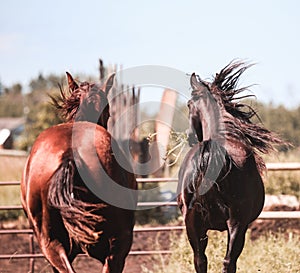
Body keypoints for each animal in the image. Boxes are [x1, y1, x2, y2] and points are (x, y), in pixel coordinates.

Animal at [177, 61, 282, 272]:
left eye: (189, 104)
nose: (190, 136)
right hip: (236, 224)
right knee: (228, 261)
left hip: (195, 224)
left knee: (201, 260)